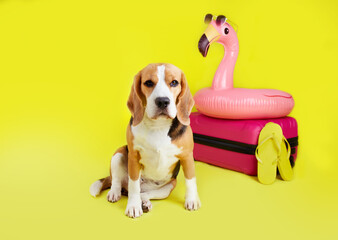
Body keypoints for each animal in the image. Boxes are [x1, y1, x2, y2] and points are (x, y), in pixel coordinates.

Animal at [90, 63, 201, 218]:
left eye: (174, 82)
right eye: (148, 83)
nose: (162, 101)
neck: (158, 125)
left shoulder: (187, 156)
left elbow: (190, 180)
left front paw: (192, 200)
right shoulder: (134, 157)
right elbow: (134, 185)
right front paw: (133, 206)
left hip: (169, 186)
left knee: (146, 194)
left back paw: (145, 203)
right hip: (119, 153)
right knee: (119, 182)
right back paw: (115, 193)